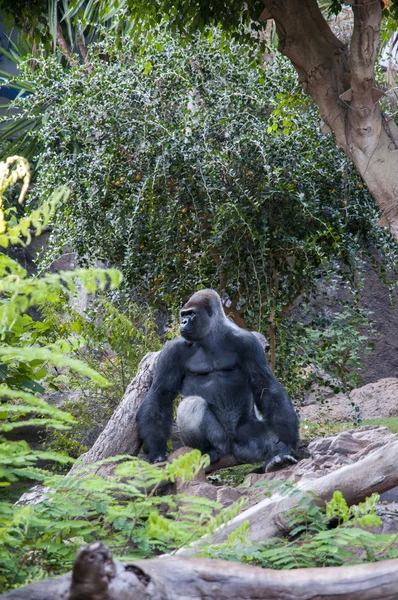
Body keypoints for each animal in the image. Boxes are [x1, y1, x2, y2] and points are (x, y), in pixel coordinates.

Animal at [137, 288, 298, 472]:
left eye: (191, 314)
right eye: (183, 314)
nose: (183, 322)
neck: (211, 337)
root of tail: (232, 450)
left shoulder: (248, 342)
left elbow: (265, 384)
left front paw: (287, 439)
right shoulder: (172, 350)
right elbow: (161, 393)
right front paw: (156, 450)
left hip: (244, 439)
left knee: (264, 439)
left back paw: (276, 457)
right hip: (221, 442)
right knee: (192, 405)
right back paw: (209, 450)